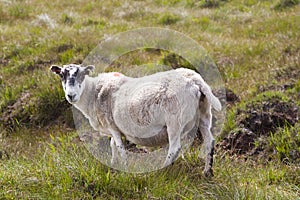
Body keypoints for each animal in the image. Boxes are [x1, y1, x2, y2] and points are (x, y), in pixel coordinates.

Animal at [50, 63, 221, 176]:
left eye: (82, 75)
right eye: (61, 75)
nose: (71, 95)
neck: (93, 94)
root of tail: (194, 80)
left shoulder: (113, 126)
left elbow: (119, 147)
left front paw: (124, 167)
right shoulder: (114, 128)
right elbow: (112, 145)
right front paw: (113, 164)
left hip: (174, 121)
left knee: (174, 148)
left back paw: (161, 170)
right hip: (204, 114)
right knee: (209, 141)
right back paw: (208, 171)